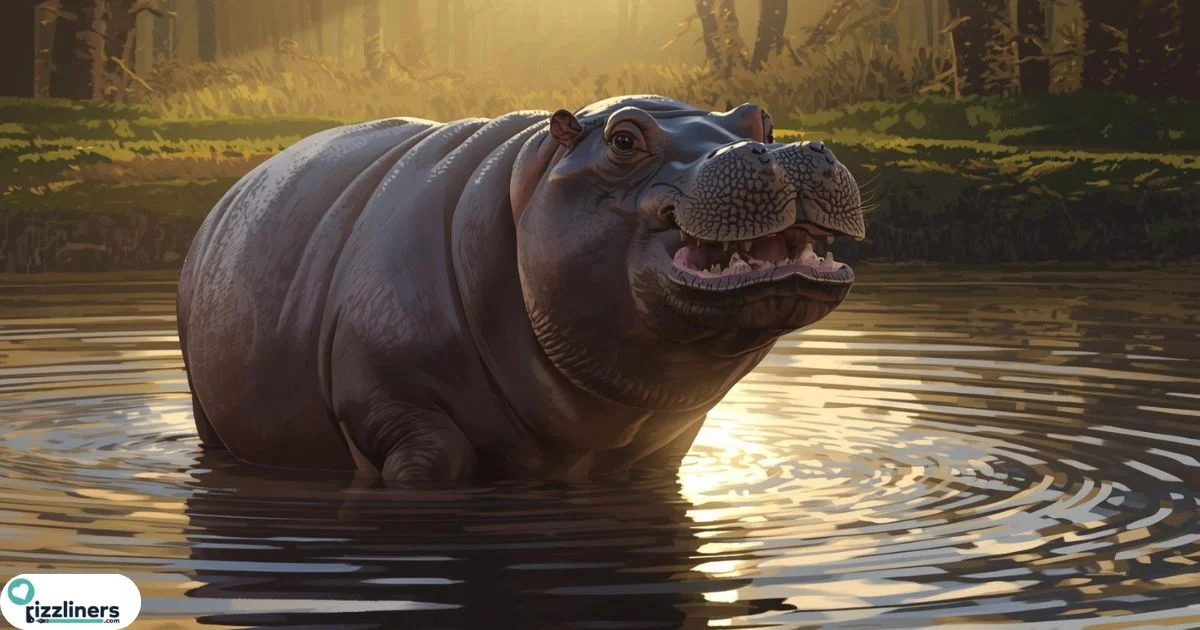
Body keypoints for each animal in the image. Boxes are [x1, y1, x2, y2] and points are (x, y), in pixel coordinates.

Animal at [176, 95, 865, 482]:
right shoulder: (388, 401)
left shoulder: (668, 443)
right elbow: (435, 460)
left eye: (761, 119)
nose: (790, 150)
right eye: (623, 139)